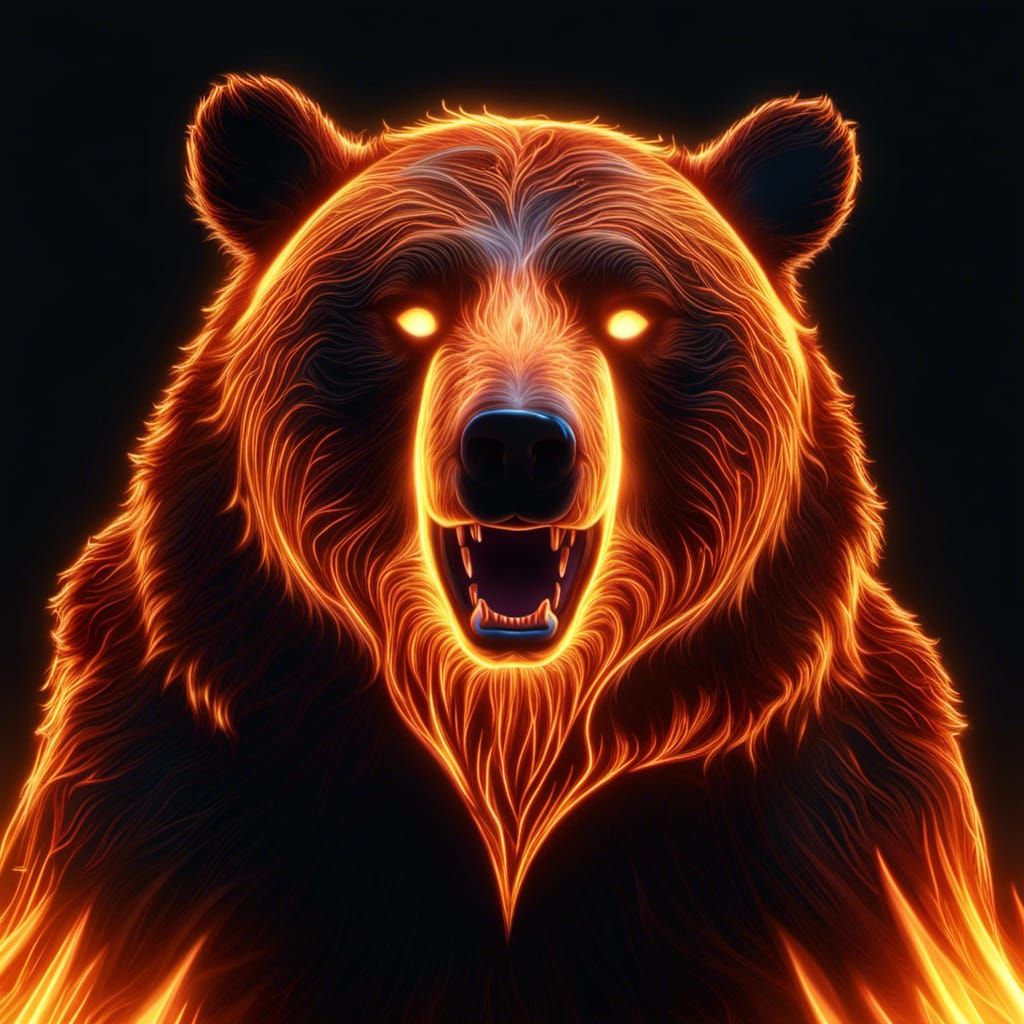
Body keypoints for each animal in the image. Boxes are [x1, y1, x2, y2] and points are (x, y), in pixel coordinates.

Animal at [0, 74, 1020, 1023]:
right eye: (410, 310)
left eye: (632, 314)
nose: (518, 446)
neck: (509, 746)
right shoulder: (169, 808)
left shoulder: (834, 842)